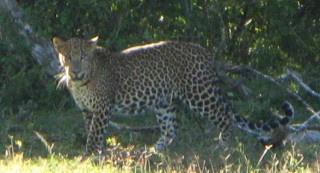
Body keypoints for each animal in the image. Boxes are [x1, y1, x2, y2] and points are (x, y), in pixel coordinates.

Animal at [53, 36, 296, 158]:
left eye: (83, 57)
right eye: (68, 57)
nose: (75, 71)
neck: (81, 82)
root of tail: (205, 53)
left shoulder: (103, 108)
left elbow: (94, 133)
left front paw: (88, 155)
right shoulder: (88, 111)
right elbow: (91, 131)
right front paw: (98, 152)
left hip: (200, 94)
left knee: (225, 116)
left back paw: (223, 147)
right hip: (165, 102)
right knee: (171, 129)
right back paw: (152, 152)